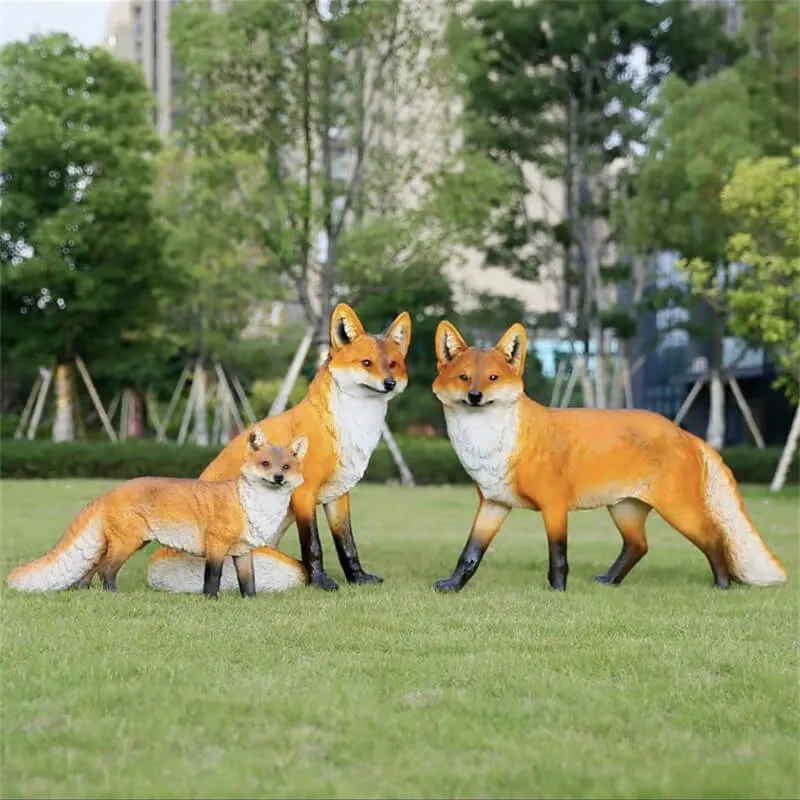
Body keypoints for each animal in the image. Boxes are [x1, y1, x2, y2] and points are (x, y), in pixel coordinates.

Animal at [7, 429, 308, 598]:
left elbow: (249, 584)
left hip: (117, 544)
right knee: (106, 570)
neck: (254, 506)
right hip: (127, 544)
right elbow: (212, 578)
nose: (279, 478)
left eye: (286, 466)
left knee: (89, 570)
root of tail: (109, 492)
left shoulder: (243, 551)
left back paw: (86, 595)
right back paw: (114, 596)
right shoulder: (216, 545)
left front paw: (251, 602)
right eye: (265, 464)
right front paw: (211, 601)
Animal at [147, 302, 411, 593]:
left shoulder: (338, 495)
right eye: (366, 363)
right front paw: (320, 582)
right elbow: (313, 545)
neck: (346, 431)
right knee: (296, 569)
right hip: (275, 563)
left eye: (393, 364)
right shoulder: (304, 493)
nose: (390, 383)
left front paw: (358, 579)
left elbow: (347, 544)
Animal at [431, 320, 788, 593]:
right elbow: (470, 553)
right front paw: (453, 585)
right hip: (625, 509)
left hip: (679, 510)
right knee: (639, 545)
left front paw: (557, 592)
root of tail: (684, 433)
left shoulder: (554, 504)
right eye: (464, 377)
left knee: (715, 537)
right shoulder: (494, 503)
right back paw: (610, 580)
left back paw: (722, 585)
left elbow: (558, 554)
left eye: (492, 378)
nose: (475, 396)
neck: (491, 448)